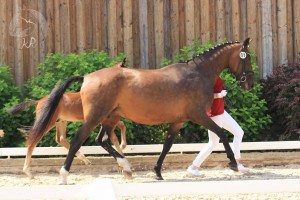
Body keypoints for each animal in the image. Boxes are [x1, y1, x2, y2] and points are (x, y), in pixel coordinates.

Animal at [28, 38, 254, 184]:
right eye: (247, 57)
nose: (249, 83)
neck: (198, 74)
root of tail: (87, 77)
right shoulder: (199, 115)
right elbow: (222, 134)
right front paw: (233, 164)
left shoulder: (178, 120)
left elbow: (167, 145)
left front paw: (157, 172)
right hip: (95, 117)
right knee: (77, 141)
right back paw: (64, 174)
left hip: (110, 117)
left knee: (102, 140)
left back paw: (127, 169)